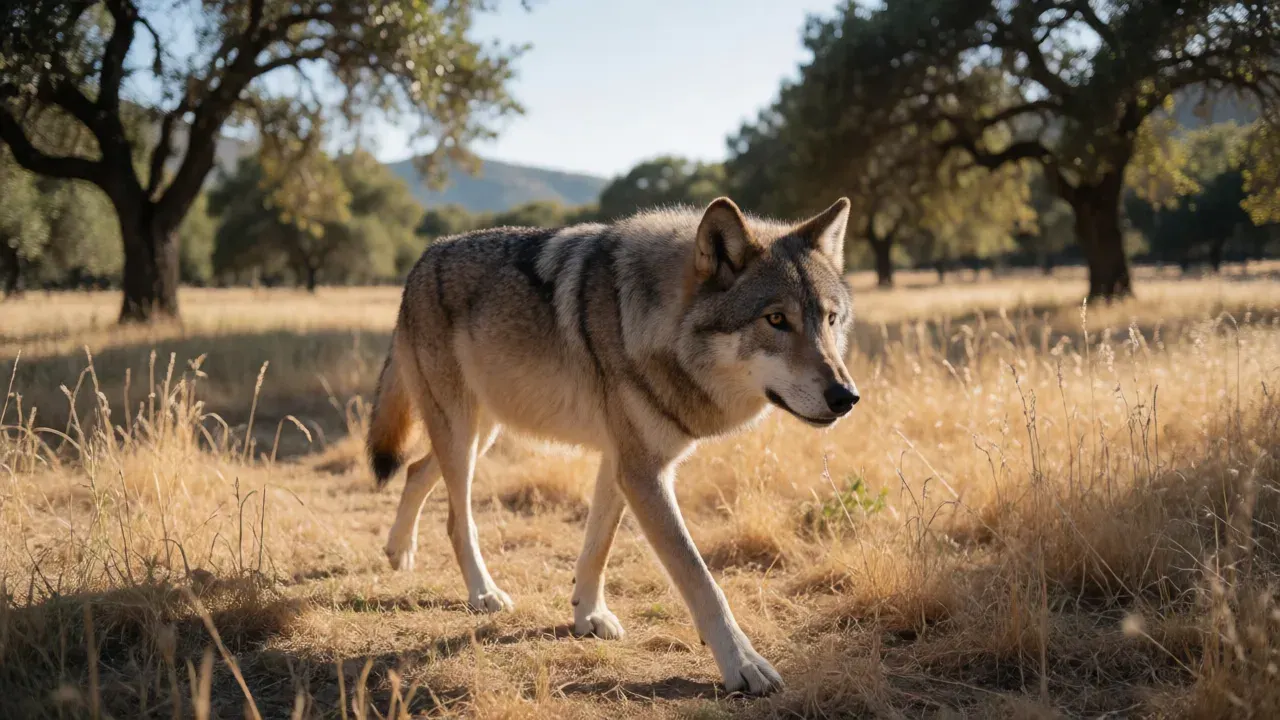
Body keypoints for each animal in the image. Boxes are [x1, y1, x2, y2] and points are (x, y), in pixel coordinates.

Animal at [365, 196, 860, 694]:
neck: (647, 325)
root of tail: (424, 258)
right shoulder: (642, 471)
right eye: (776, 319)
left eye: (830, 319)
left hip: (480, 433)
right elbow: (700, 579)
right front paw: (743, 663)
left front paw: (588, 615)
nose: (846, 397)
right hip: (463, 434)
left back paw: (398, 550)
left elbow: (597, 548)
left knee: (416, 470)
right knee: (456, 519)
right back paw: (483, 591)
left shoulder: (622, 461)